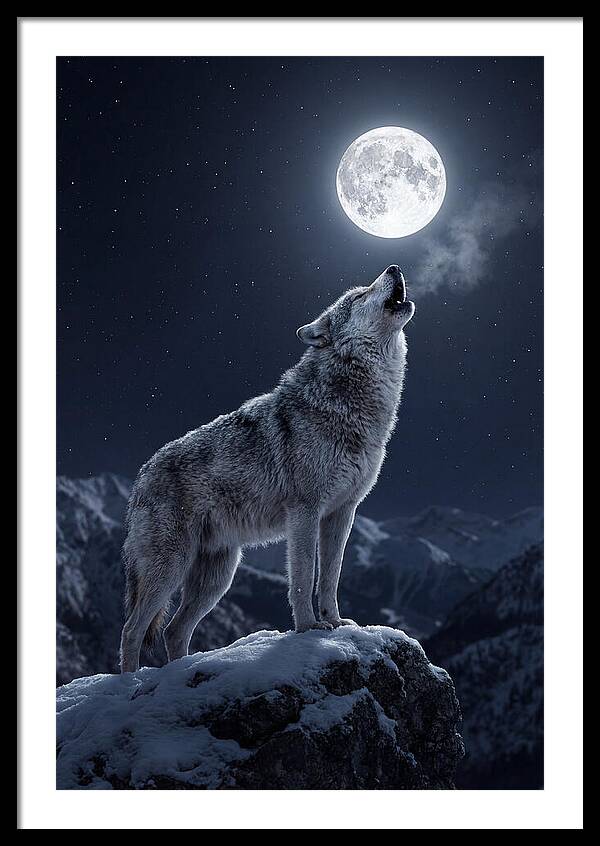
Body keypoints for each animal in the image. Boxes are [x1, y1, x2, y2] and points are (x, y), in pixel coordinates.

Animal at [119, 264, 415, 672]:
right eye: (358, 295)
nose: (394, 268)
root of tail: (141, 476)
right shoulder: (304, 512)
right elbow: (304, 577)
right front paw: (308, 628)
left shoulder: (342, 513)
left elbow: (330, 577)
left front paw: (336, 622)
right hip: (169, 569)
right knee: (132, 630)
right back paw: (129, 682)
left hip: (218, 577)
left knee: (172, 631)